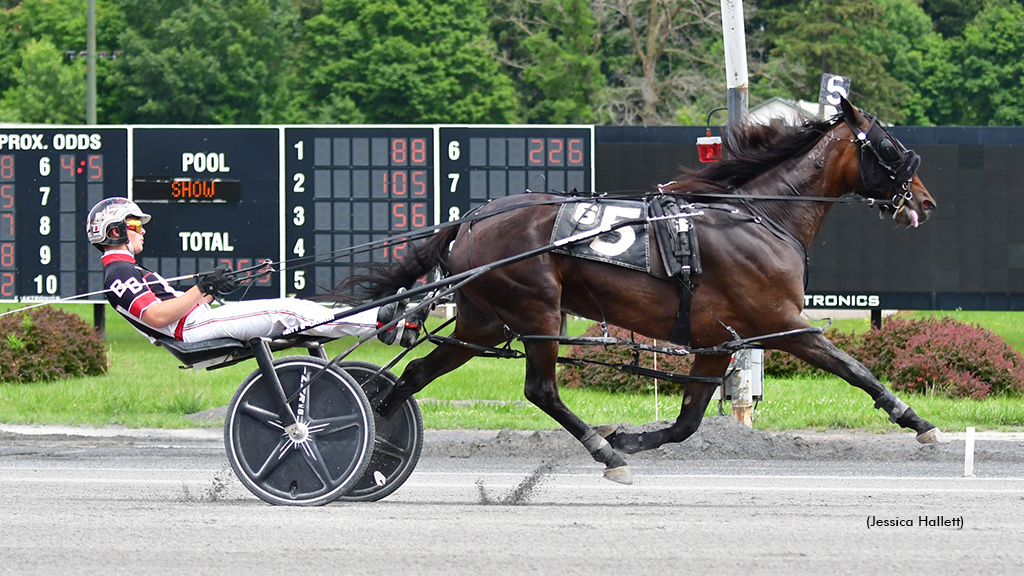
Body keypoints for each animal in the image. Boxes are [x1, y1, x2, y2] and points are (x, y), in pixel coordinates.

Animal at [335, 97, 942, 479]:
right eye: (891, 146)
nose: (926, 199)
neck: (758, 217)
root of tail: (469, 219)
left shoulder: (714, 340)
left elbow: (689, 421)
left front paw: (631, 436)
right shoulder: (780, 321)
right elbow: (855, 368)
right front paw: (917, 421)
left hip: (483, 321)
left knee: (416, 373)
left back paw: (372, 436)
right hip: (537, 311)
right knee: (541, 390)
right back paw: (605, 455)